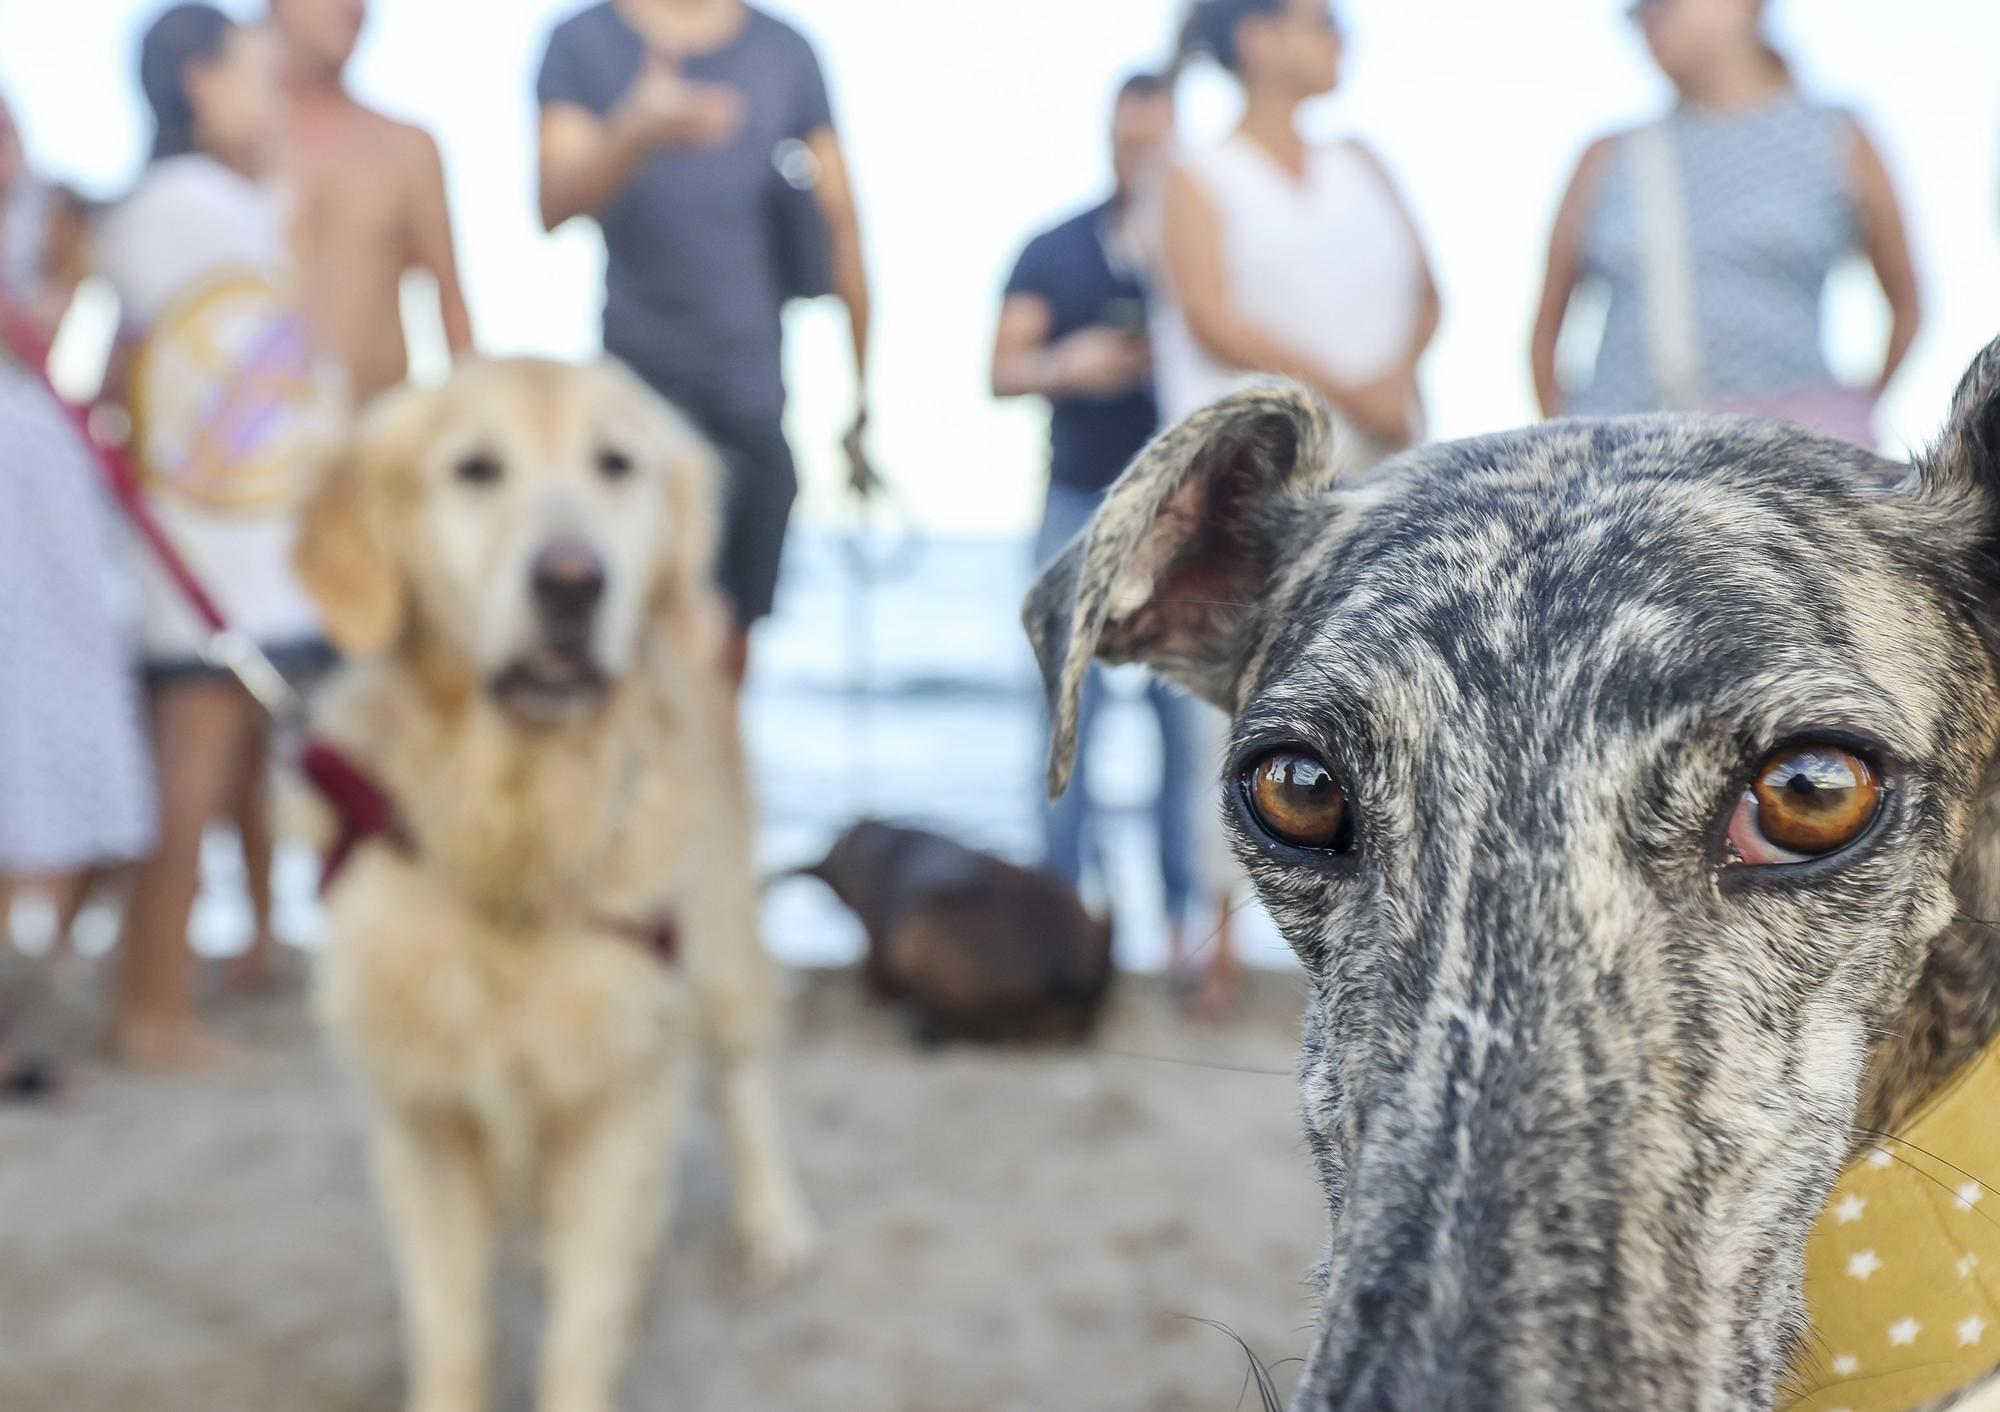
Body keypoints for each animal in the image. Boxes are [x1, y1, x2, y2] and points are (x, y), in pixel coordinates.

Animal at [292, 358, 808, 1408]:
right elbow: (451, 1326)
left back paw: (773, 1223)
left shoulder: (623, 1091)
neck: (516, 828)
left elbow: (583, 1323)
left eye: (617, 464)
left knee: (746, 1078)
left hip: (720, 946)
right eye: (474, 469)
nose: (573, 581)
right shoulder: (422, 1112)